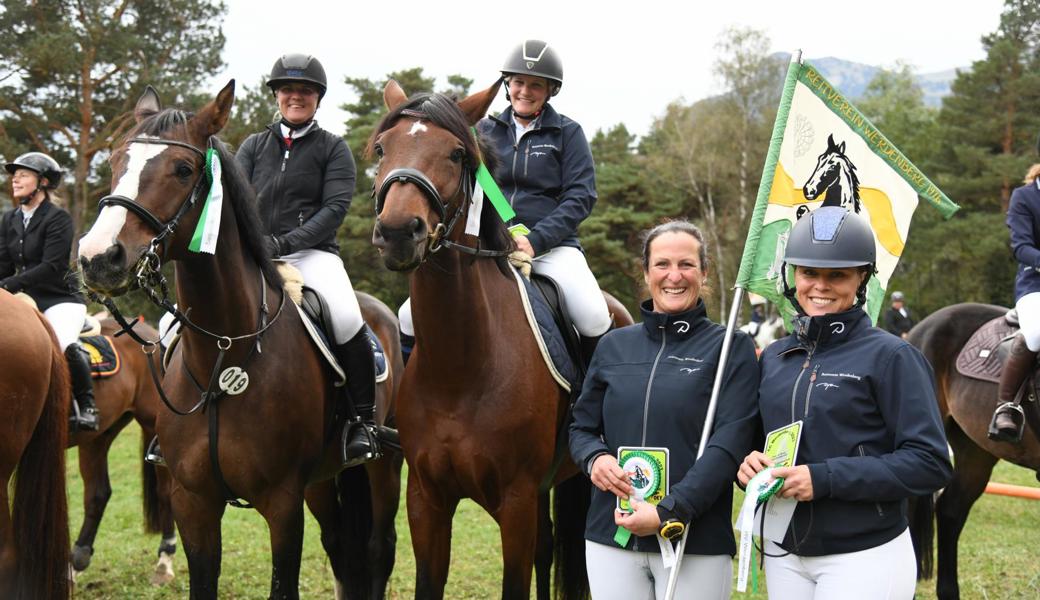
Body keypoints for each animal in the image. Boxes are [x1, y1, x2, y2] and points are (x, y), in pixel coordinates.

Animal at [68, 318, 179, 586]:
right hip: (97, 435)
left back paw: (164, 560)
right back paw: (77, 560)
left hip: (152, 425)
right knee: (97, 493)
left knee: (164, 491)